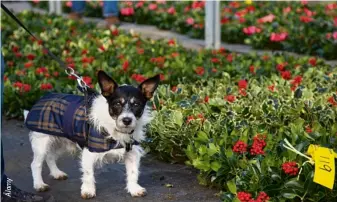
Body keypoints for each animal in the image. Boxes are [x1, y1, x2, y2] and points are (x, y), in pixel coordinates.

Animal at [24, 70, 160, 198]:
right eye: (117, 104)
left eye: (136, 104)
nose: (127, 120)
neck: (115, 129)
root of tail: (43, 98)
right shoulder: (89, 153)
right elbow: (88, 174)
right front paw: (88, 191)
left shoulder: (132, 153)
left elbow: (133, 173)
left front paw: (134, 189)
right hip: (42, 142)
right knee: (35, 164)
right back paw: (39, 184)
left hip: (61, 142)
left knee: (50, 157)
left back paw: (57, 173)